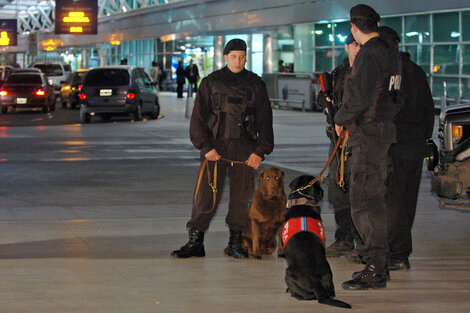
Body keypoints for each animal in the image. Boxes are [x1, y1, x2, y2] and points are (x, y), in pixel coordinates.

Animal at [280, 174, 350, 308]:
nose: (322, 191)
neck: (303, 202)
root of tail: (317, 282)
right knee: (331, 293)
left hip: (288, 273)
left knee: (303, 296)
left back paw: (293, 293)